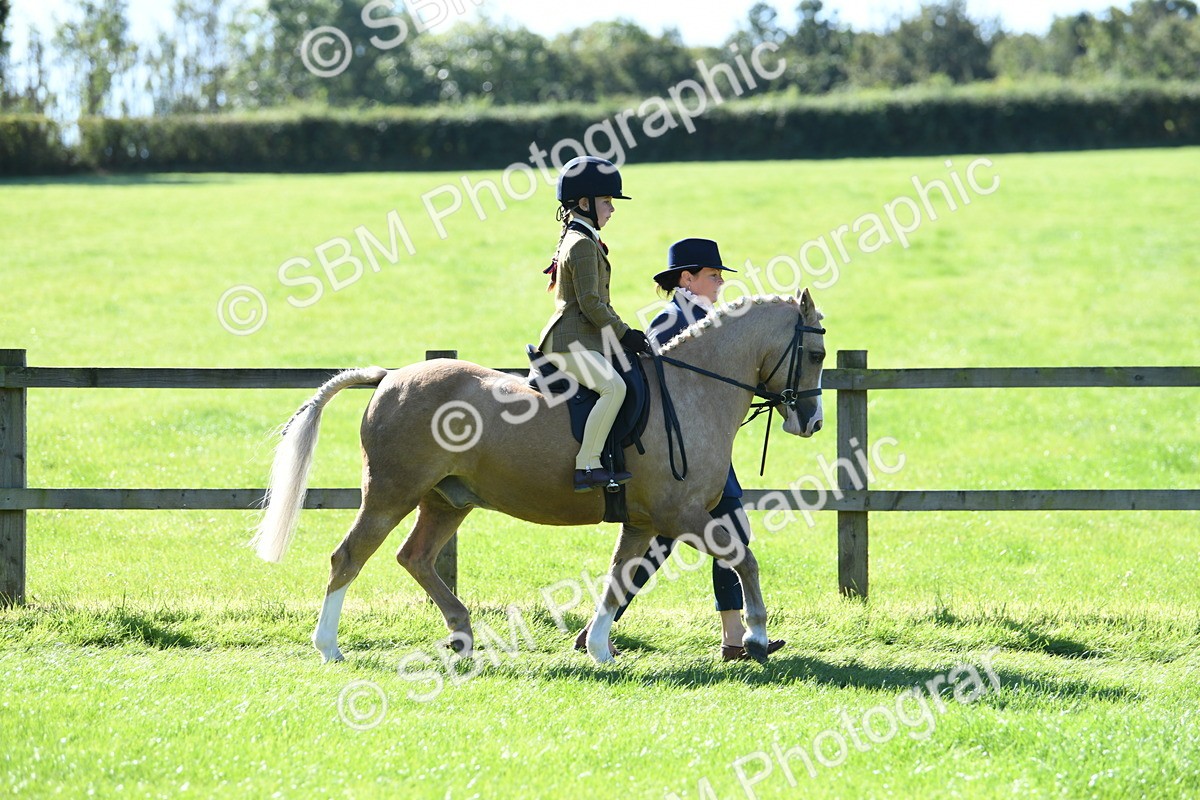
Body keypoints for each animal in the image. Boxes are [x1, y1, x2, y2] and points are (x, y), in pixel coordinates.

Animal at [251, 288, 826, 665]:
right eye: (816, 353)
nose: (812, 422)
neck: (691, 389)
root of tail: (390, 378)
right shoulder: (679, 514)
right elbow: (743, 560)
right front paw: (756, 637)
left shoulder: (643, 521)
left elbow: (619, 578)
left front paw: (598, 649)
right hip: (392, 493)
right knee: (349, 557)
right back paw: (329, 648)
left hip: (447, 500)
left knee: (414, 557)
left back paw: (462, 637)